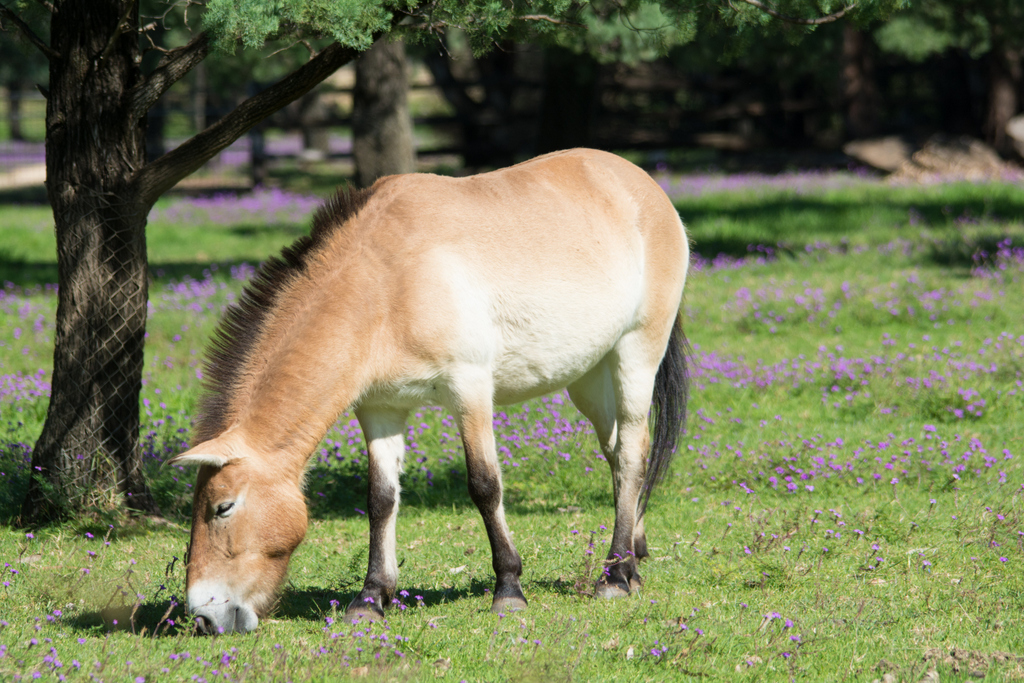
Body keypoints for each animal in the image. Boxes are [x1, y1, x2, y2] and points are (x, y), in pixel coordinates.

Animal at [168, 148, 690, 634]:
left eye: (222, 508)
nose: (204, 618)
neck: (385, 280)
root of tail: (643, 186)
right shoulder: (380, 408)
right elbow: (380, 498)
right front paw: (370, 598)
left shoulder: (470, 389)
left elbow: (484, 485)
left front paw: (508, 589)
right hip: (589, 378)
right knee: (618, 452)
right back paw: (633, 558)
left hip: (635, 356)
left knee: (631, 452)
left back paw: (615, 575)